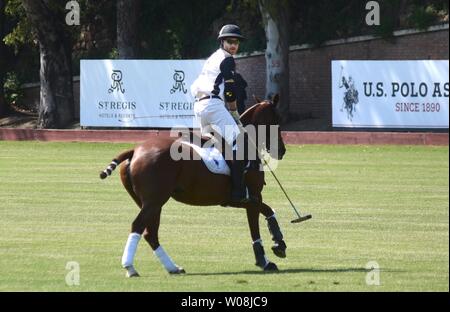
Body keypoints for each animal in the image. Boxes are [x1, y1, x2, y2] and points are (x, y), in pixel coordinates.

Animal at [99, 94, 288, 276]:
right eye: (277, 118)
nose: (282, 150)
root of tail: (135, 151)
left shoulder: (240, 200)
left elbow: (268, 210)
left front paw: (279, 242)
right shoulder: (252, 196)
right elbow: (256, 228)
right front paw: (265, 261)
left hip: (150, 203)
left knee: (150, 233)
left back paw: (173, 268)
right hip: (154, 201)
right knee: (138, 226)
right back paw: (130, 267)